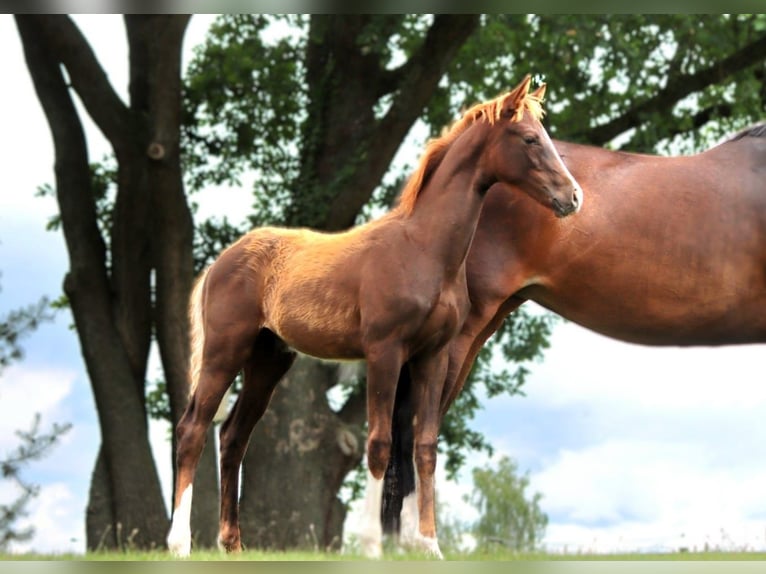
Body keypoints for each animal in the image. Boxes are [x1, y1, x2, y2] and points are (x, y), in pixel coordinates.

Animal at [166, 74, 584, 560]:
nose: (573, 197)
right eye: (530, 138)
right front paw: (370, 546)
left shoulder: (431, 357)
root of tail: (220, 262)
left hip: (268, 359)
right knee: (193, 428)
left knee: (233, 436)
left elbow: (425, 446)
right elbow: (380, 442)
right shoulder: (385, 352)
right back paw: (179, 543)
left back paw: (232, 545)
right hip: (224, 350)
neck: (422, 249)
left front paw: (430, 546)